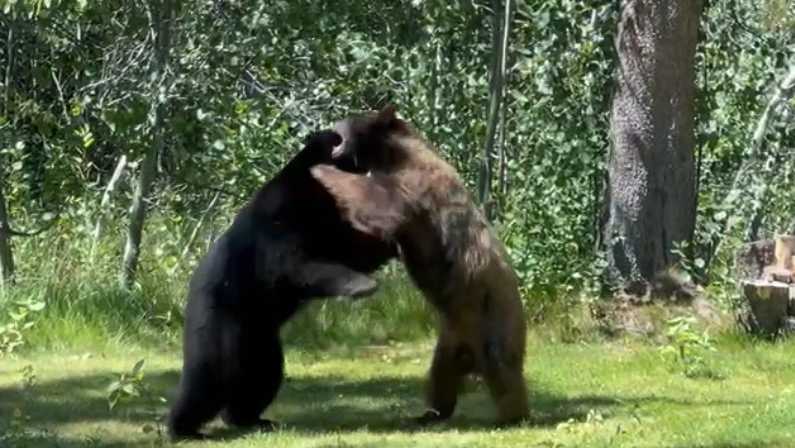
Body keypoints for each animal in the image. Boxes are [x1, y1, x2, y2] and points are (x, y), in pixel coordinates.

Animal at [166, 129, 396, 438]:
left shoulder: (328, 221)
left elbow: (353, 248)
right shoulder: (282, 218)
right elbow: (297, 265)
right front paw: (363, 284)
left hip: (261, 338)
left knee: (263, 376)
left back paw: (250, 418)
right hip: (219, 322)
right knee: (206, 380)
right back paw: (183, 427)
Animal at [310, 107, 528, 426]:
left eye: (353, 119)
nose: (332, 127)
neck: (394, 156)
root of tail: (472, 356)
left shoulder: (415, 187)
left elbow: (380, 204)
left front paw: (321, 171)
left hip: (496, 322)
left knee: (504, 372)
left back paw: (513, 415)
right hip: (449, 344)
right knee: (440, 378)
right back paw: (430, 413)